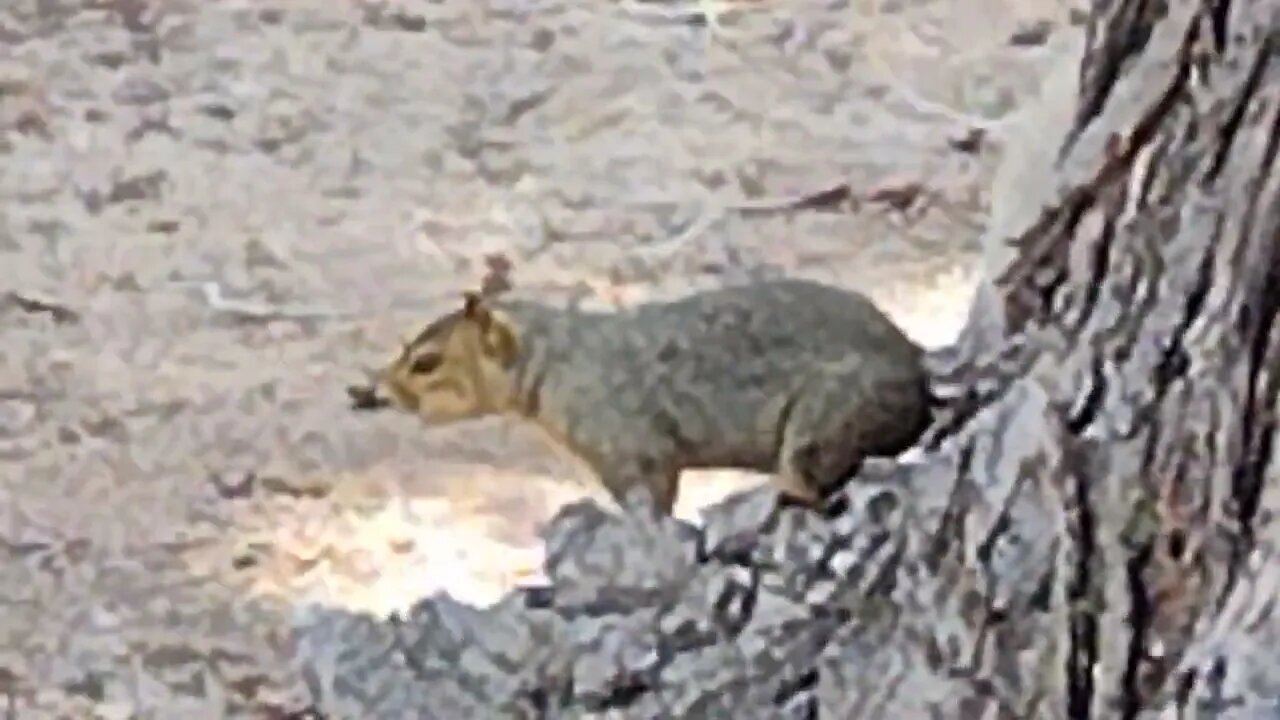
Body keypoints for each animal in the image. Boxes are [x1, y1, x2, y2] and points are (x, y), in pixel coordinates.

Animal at [348, 278, 931, 512]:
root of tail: (917, 378)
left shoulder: (629, 445)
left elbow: (649, 497)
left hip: (824, 417)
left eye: (427, 362)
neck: (560, 363)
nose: (368, 391)